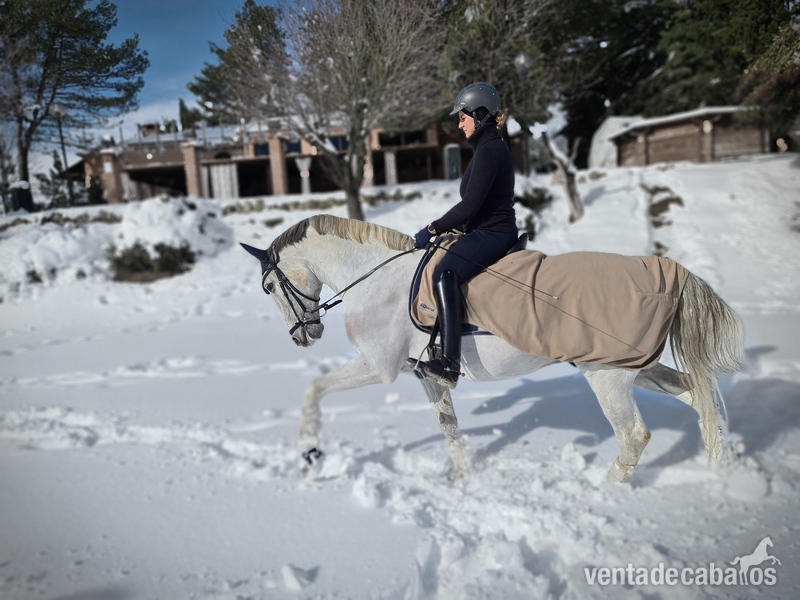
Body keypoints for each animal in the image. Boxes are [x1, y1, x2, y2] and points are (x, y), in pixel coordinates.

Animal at [242, 214, 745, 482]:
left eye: (268, 287)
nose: (303, 335)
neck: (374, 276)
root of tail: (665, 272)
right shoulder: (425, 373)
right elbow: (448, 427)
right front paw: (461, 477)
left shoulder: (376, 366)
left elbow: (314, 389)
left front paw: (309, 450)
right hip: (636, 366)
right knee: (698, 394)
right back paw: (719, 466)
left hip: (608, 376)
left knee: (634, 436)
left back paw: (607, 488)